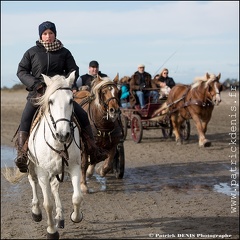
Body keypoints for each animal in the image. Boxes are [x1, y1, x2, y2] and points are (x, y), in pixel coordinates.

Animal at [5, 71, 83, 240]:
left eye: (71, 100)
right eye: (51, 101)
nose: (63, 134)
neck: (58, 143)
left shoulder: (75, 167)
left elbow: (77, 197)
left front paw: (76, 216)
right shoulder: (42, 172)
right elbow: (48, 204)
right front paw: (51, 231)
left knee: (54, 187)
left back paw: (60, 217)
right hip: (31, 166)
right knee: (33, 182)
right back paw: (36, 211)